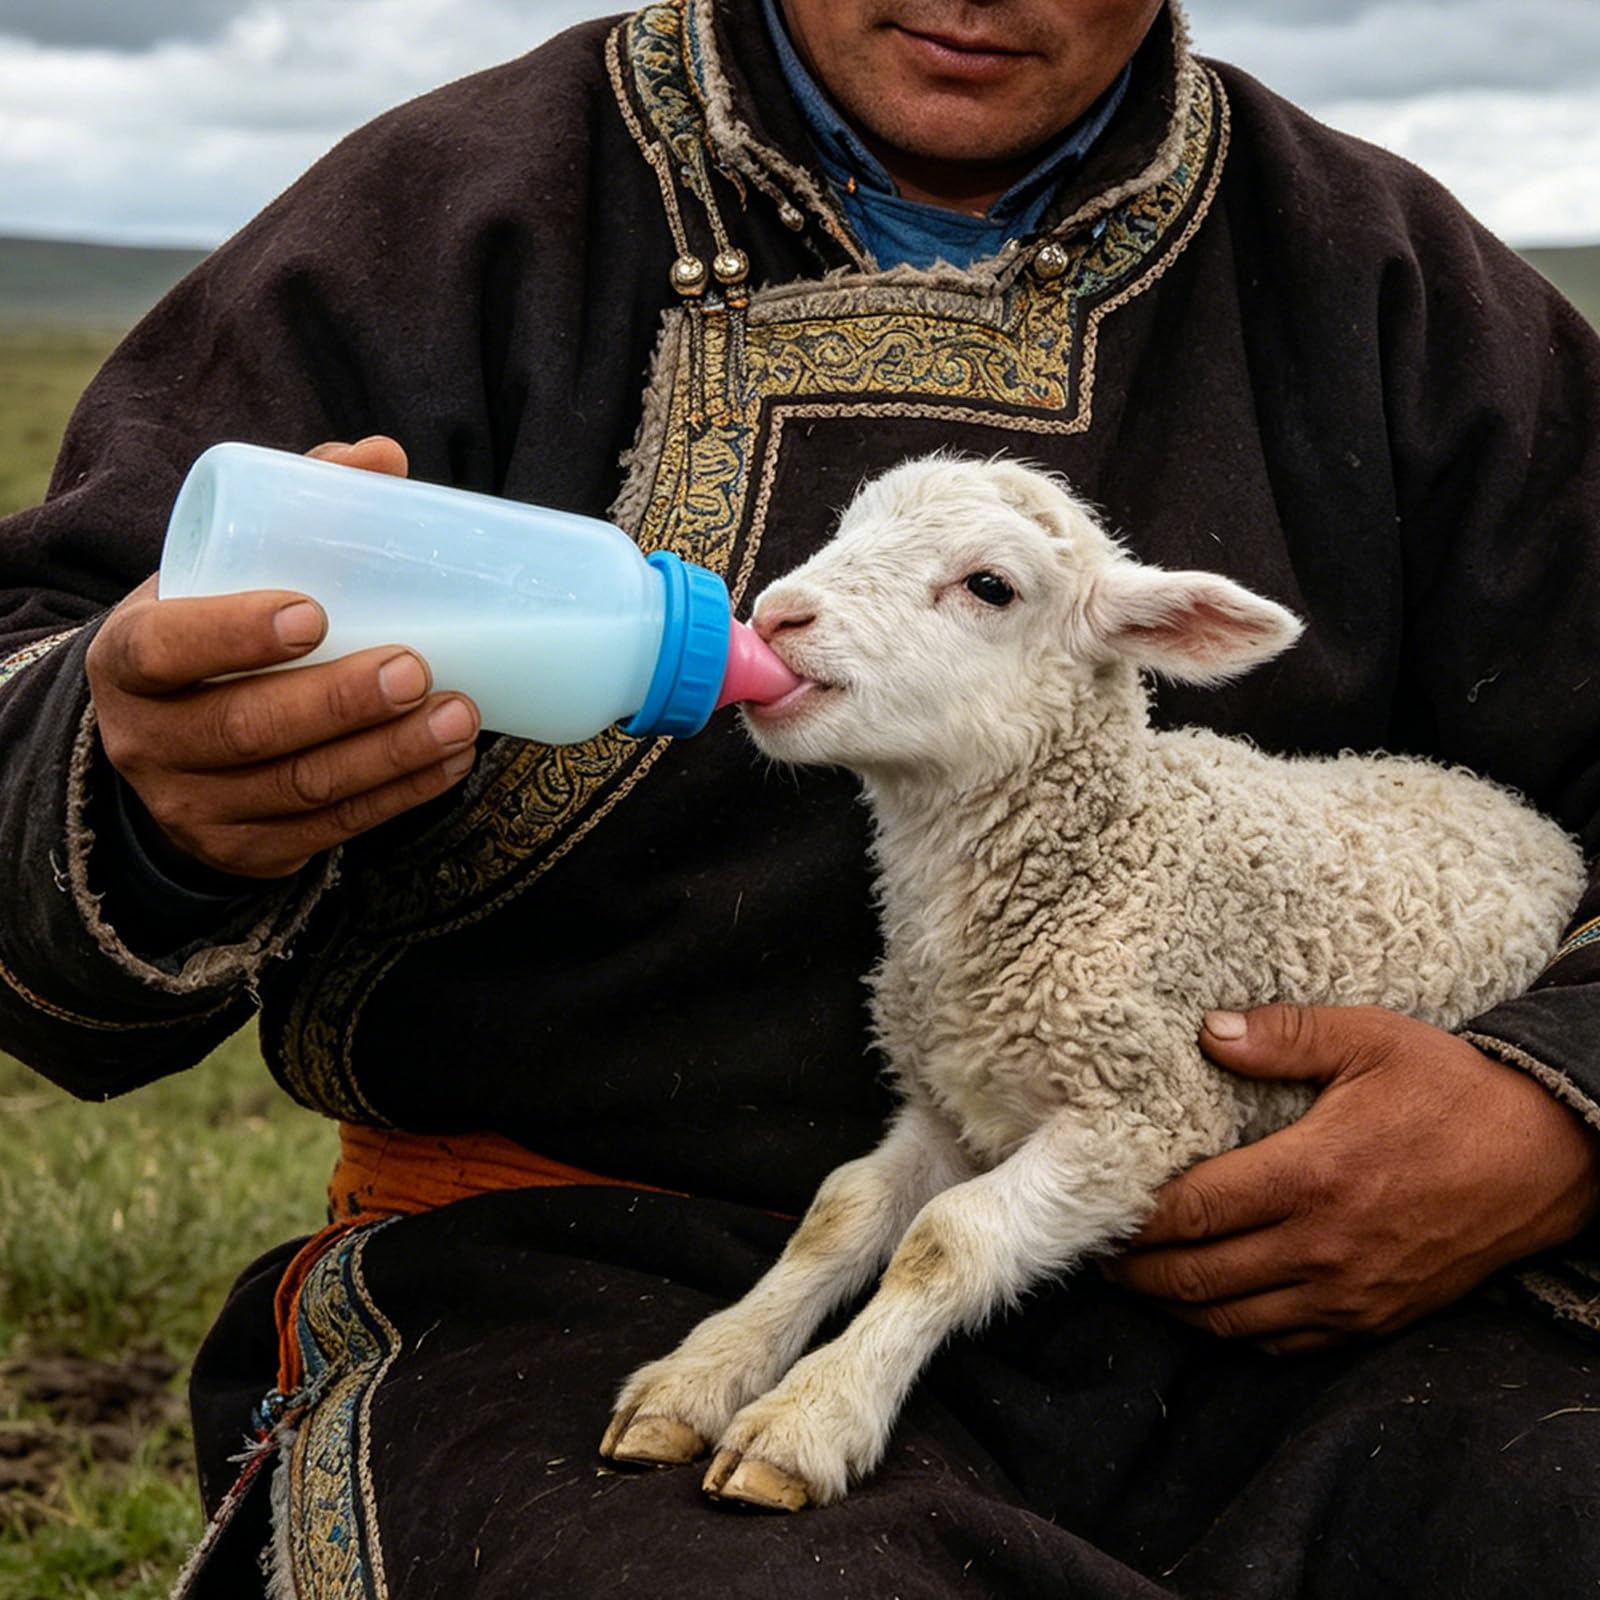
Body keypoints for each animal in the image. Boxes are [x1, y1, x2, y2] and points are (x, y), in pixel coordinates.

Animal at [597, 455, 1585, 1513]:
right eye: (850, 527)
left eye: (991, 586)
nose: (779, 616)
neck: (1096, 863)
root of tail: (1506, 803)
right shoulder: (952, 1102)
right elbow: (840, 1214)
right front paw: (702, 1375)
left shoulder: (1144, 1115)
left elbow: (948, 1241)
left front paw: (809, 1419)